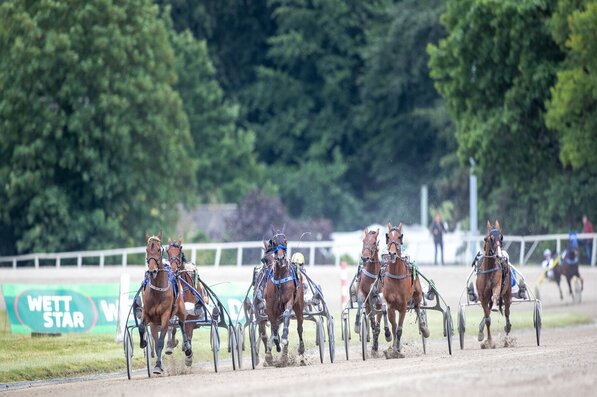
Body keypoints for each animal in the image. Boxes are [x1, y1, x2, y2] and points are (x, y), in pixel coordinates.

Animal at [264, 227, 304, 364]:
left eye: (285, 241)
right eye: (274, 242)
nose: (281, 258)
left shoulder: (289, 301)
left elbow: (286, 315)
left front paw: (284, 337)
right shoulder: (270, 307)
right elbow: (274, 326)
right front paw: (275, 345)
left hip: (299, 305)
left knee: (299, 327)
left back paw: (300, 351)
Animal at [382, 221, 428, 358]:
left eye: (399, 237)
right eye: (388, 237)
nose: (392, 254)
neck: (396, 276)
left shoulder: (403, 305)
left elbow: (399, 329)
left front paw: (397, 349)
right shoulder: (391, 306)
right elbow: (394, 327)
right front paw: (394, 349)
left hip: (417, 294)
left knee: (418, 307)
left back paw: (424, 328)